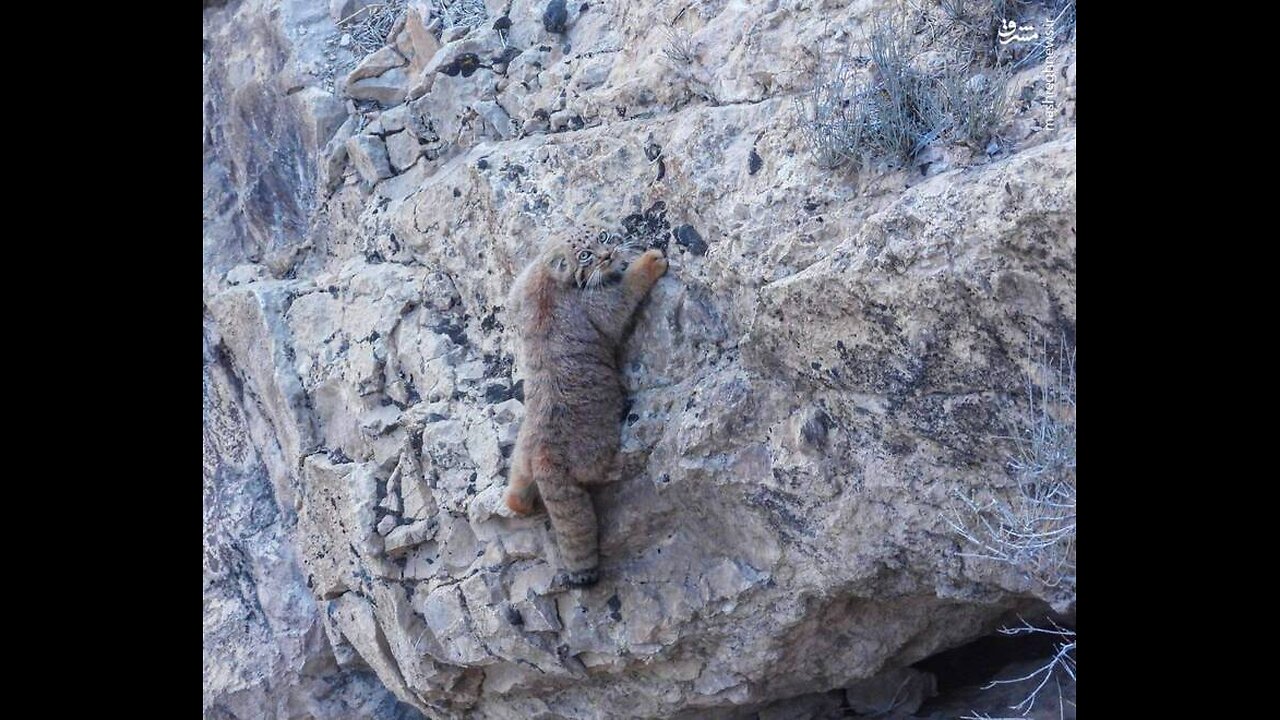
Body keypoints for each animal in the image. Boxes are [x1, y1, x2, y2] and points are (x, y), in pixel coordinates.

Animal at [501, 226, 670, 586]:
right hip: (595, 449)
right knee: (599, 471)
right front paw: (649, 262)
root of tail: (543, 456)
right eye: (585, 256)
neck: (551, 279)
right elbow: (624, 296)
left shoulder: (521, 286)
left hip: (521, 457)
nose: (609, 254)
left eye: (602, 237)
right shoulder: (600, 305)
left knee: (515, 492)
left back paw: (521, 503)